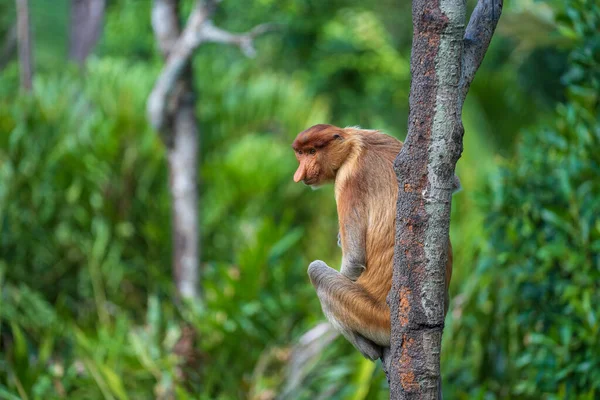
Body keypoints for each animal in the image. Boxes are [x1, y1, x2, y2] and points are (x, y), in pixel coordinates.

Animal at [292, 124, 454, 360]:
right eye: (300, 154)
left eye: (312, 152)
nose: (299, 174)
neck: (352, 146)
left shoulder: (346, 180)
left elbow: (353, 259)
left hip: (372, 316)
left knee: (316, 271)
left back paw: (369, 350)